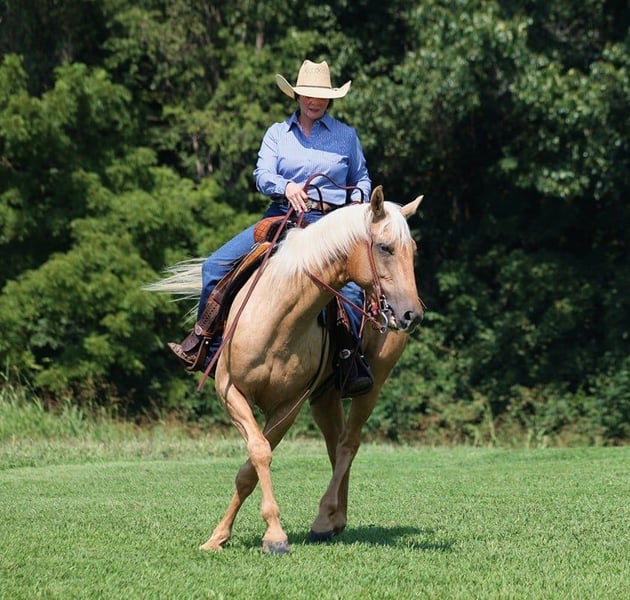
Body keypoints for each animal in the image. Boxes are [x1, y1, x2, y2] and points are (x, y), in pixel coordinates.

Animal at [150, 186, 424, 554]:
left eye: (413, 250)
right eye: (385, 247)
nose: (412, 314)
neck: (277, 315)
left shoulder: (288, 406)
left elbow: (254, 463)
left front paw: (273, 536)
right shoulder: (230, 392)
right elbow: (256, 457)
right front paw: (218, 537)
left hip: (374, 384)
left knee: (348, 444)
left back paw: (324, 518)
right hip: (325, 396)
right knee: (335, 444)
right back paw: (335, 520)